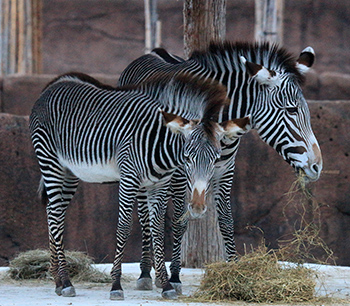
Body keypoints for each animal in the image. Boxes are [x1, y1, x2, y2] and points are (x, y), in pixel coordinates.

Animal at [29, 70, 249, 298]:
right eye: (187, 158)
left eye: (216, 159)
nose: (197, 207)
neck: (161, 144)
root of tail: (55, 84)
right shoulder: (129, 178)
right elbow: (124, 227)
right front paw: (116, 285)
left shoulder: (159, 184)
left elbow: (157, 228)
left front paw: (166, 285)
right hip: (50, 162)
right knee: (56, 216)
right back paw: (65, 281)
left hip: (69, 171)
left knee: (54, 212)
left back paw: (57, 280)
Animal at [117, 40, 322, 292]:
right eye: (292, 110)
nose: (317, 166)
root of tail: (154, 53)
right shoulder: (180, 171)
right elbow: (179, 221)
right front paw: (173, 278)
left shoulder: (225, 169)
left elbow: (226, 219)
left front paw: (234, 269)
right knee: (146, 216)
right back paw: (146, 272)